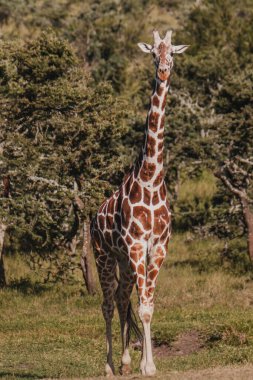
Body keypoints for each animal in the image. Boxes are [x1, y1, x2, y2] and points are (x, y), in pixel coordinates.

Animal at [90, 30, 188, 378]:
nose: (164, 70)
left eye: (173, 52)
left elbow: (148, 305)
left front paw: (146, 363)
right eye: (153, 53)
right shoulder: (136, 244)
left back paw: (124, 362)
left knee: (121, 299)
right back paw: (107, 366)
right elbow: (144, 307)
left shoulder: (158, 246)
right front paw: (149, 366)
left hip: (123, 260)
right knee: (107, 303)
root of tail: (92, 217)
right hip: (104, 255)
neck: (151, 179)